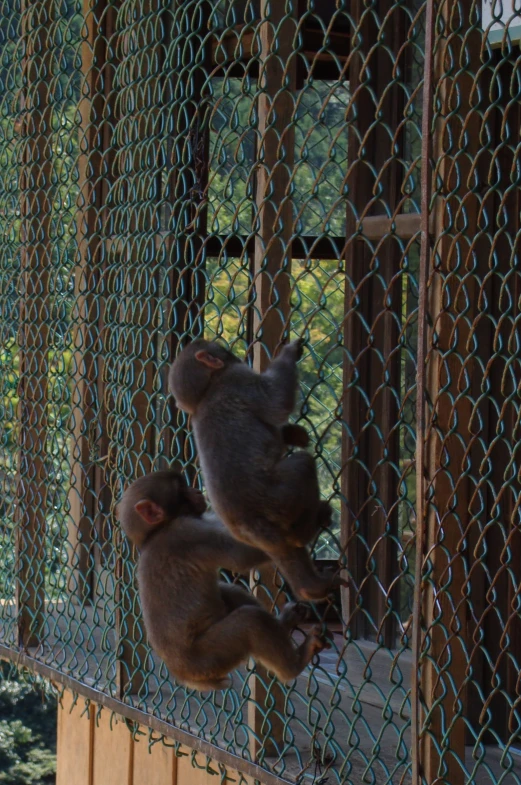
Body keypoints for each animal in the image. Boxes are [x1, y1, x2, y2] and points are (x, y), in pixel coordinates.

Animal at [117, 468, 330, 688]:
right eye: (181, 489)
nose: (196, 491)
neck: (154, 533)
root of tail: (184, 675)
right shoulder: (186, 532)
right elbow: (241, 554)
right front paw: (309, 518)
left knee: (228, 592)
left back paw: (283, 624)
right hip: (208, 658)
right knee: (251, 621)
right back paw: (295, 664)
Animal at [169, 336, 344, 600]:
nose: (230, 352)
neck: (207, 391)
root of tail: (249, 524)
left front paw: (293, 434)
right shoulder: (239, 378)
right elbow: (276, 400)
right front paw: (289, 353)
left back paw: (310, 587)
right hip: (279, 499)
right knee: (303, 465)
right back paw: (305, 530)